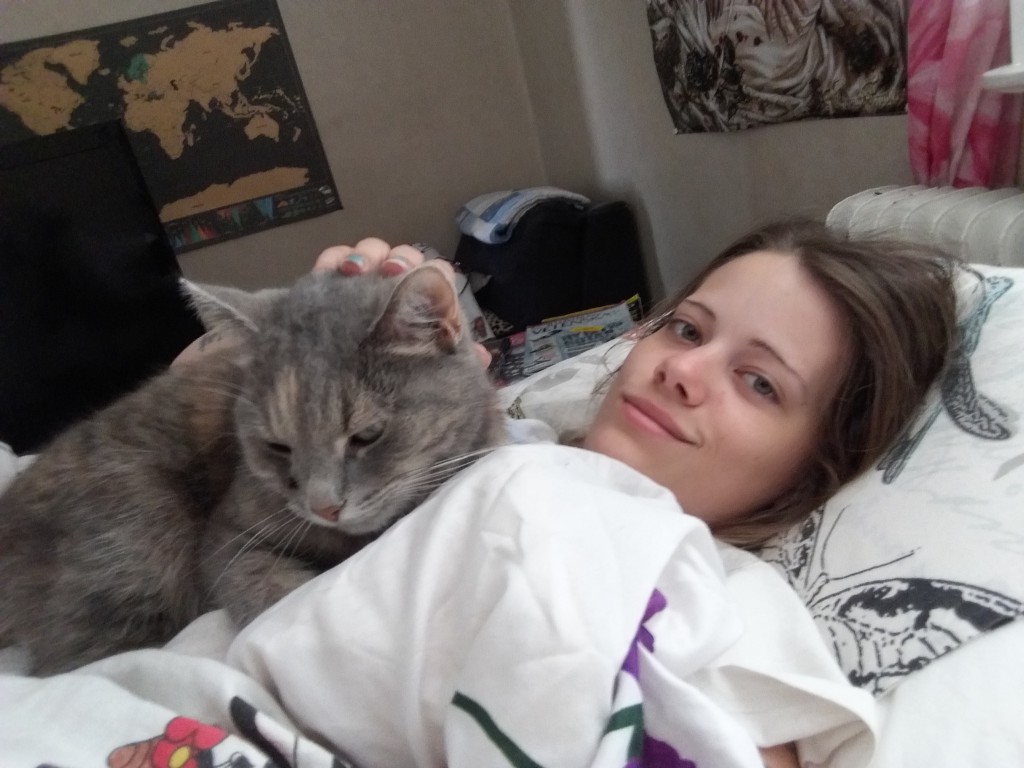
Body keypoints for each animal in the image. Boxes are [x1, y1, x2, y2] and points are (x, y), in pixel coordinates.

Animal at [0, 263, 504, 674]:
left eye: (368, 435)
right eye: (278, 446)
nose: (324, 507)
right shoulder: (228, 538)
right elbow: (275, 593)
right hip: (140, 530)